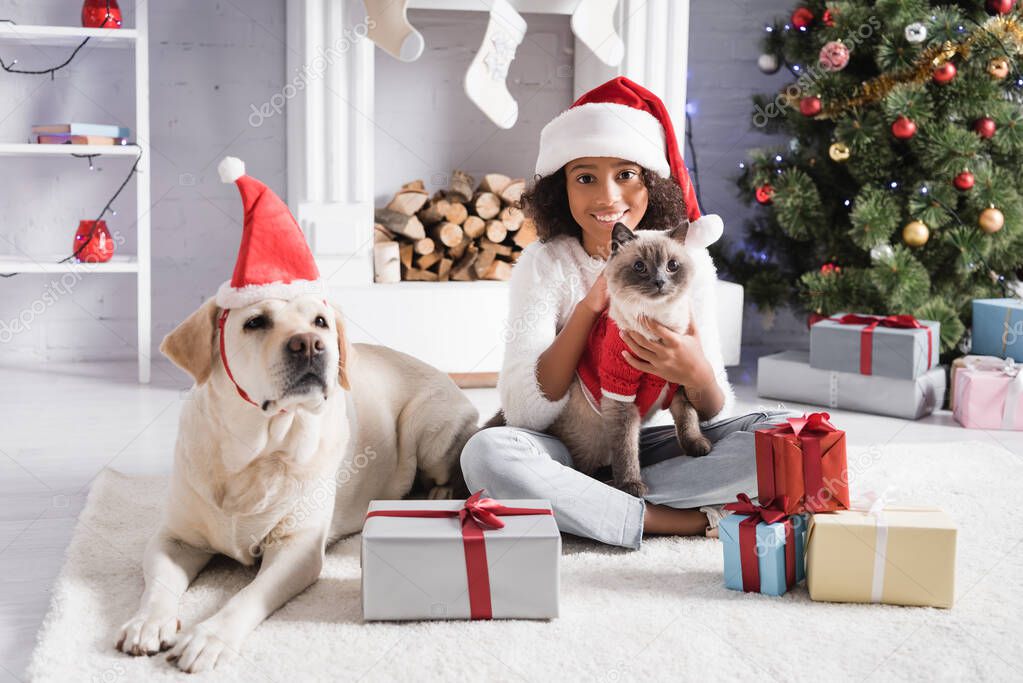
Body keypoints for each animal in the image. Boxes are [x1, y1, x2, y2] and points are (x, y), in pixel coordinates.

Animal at [117, 294, 478, 670]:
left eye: (320, 321)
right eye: (255, 321)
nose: (309, 344)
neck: (252, 456)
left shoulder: (298, 549)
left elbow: (247, 596)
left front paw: (210, 637)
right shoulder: (175, 539)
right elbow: (159, 582)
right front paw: (148, 621)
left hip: (428, 430)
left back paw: (436, 494)